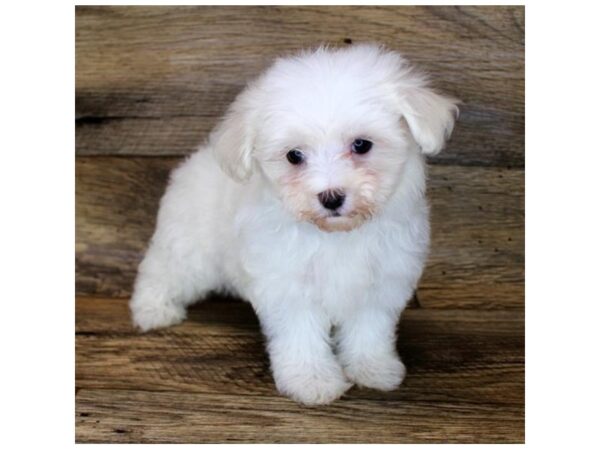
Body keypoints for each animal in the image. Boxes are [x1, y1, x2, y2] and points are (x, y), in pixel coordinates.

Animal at [131, 44, 460, 406]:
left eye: (361, 145)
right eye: (294, 156)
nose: (331, 197)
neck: (337, 235)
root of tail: (200, 158)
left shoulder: (380, 283)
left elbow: (369, 330)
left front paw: (372, 368)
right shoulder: (289, 285)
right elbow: (302, 335)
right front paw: (312, 380)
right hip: (190, 246)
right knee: (162, 271)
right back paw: (152, 310)